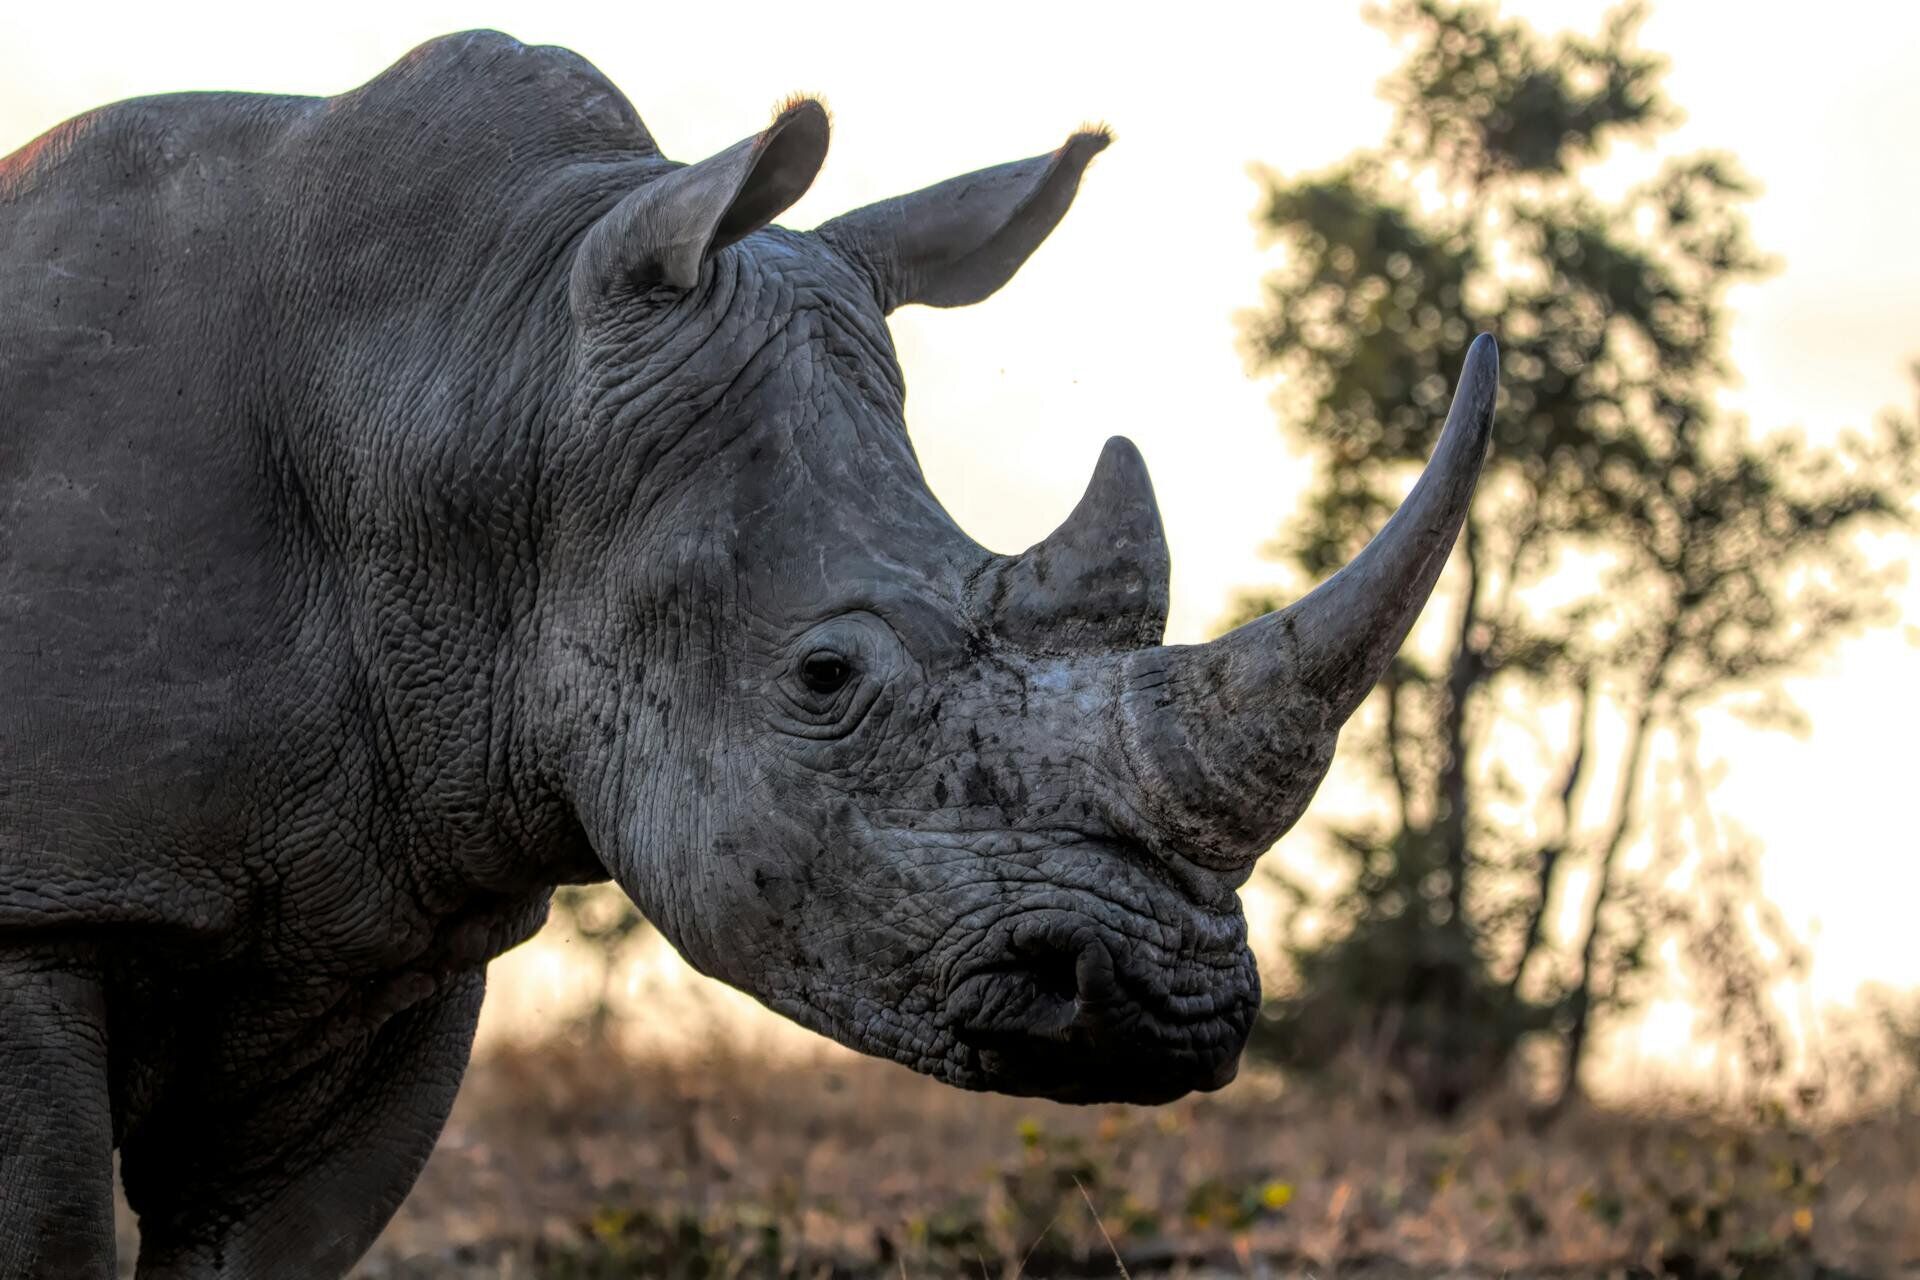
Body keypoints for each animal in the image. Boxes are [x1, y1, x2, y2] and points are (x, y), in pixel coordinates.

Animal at [0, 29, 1497, 1279]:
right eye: (824, 679)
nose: (1167, 1007)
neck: (481, 373)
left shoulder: (392, 915)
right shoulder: (43, 908)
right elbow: (51, 1236)